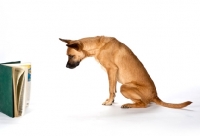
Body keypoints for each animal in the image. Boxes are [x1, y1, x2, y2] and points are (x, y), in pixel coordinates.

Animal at [59, 35, 192, 108]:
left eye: (70, 56)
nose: (66, 67)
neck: (98, 46)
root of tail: (155, 95)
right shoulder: (112, 74)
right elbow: (113, 89)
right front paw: (111, 101)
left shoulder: (112, 70)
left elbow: (110, 89)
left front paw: (109, 102)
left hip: (125, 87)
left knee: (144, 104)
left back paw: (129, 105)